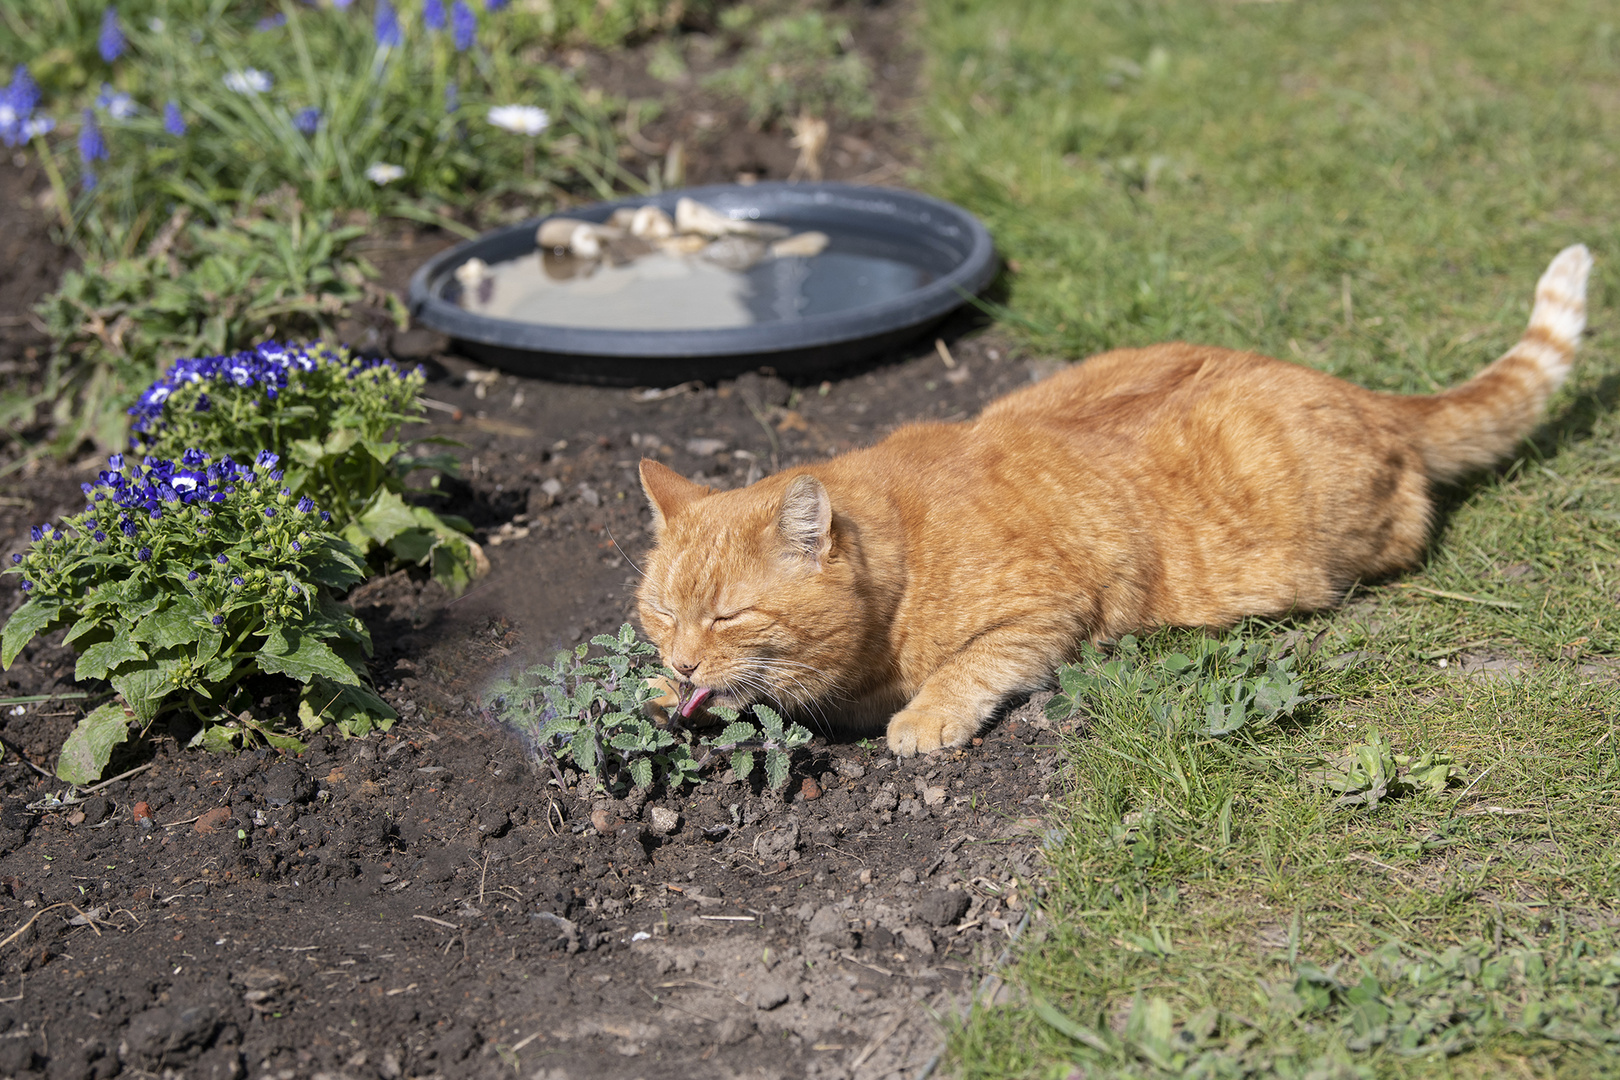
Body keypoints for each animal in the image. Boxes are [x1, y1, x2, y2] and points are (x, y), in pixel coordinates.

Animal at [635, 246, 1594, 757]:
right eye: (661, 614)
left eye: (727, 616)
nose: (680, 660)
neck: (901, 569)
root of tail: (1364, 391)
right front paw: (655, 689)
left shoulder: (1049, 607)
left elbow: (971, 666)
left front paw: (925, 715)